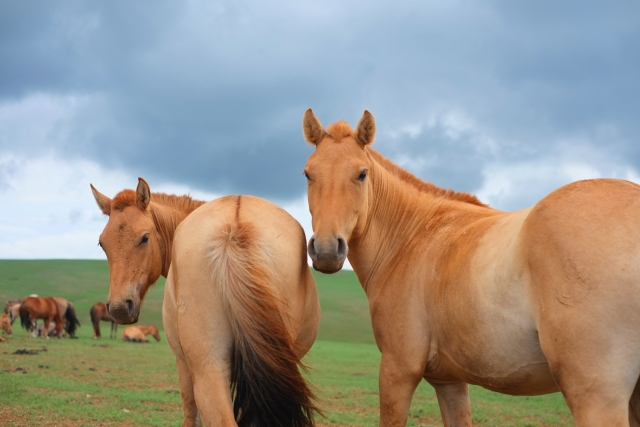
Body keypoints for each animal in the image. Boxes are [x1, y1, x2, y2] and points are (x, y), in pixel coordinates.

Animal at [91, 179, 320, 427]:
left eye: (144, 237)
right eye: (102, 244)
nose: (119, 308)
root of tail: (234, 225)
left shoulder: (184, 365)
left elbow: (191, 415)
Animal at [302, 108, 640, 427]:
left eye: (362, 174)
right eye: (308, 174)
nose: (327, 250)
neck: (411, 236)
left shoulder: (397, 370)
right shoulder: (450, 382)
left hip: (595, 396)